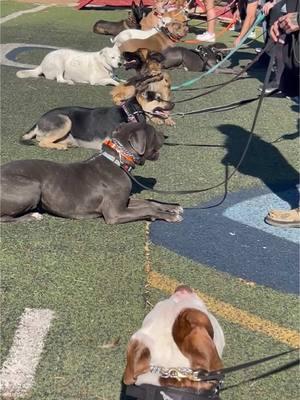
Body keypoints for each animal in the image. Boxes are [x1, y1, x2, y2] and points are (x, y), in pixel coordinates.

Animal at [0, 122, 183, 225]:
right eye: (154, 132)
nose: (164, 135)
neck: (117, 160)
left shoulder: (124, 202)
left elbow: (149, 202)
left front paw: (172, 207)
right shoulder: (115, 214)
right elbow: (146, 209)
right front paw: (167, 216)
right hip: (33, 187)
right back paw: (32, 217)